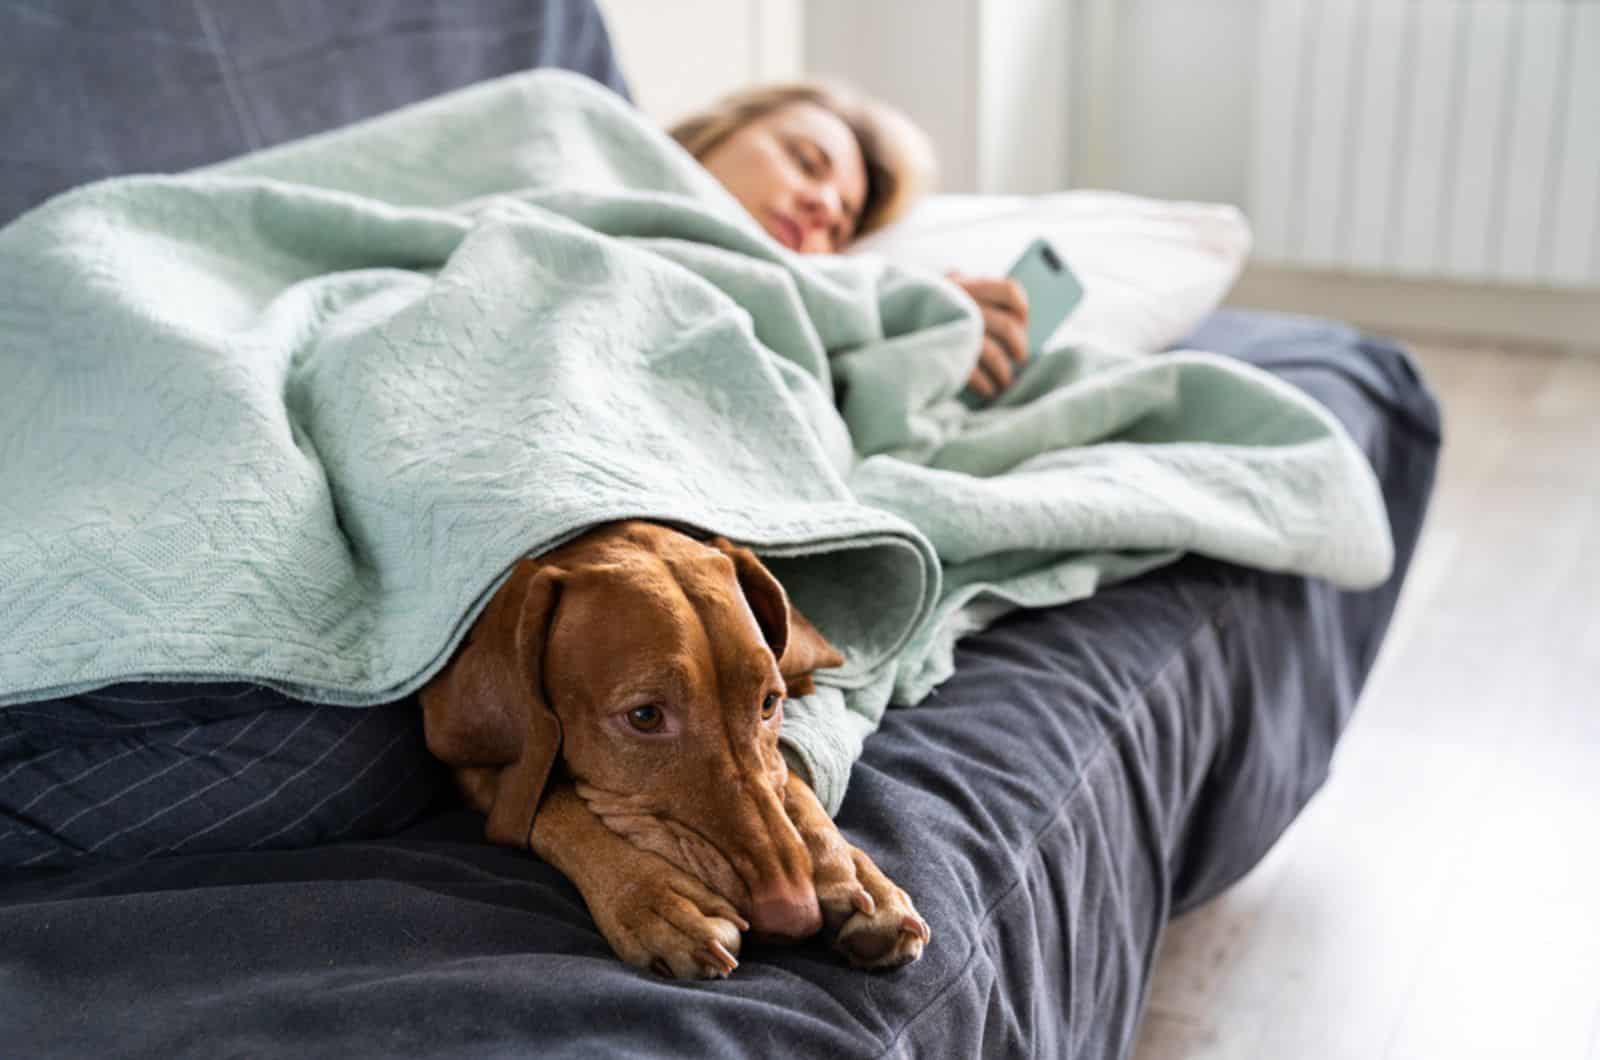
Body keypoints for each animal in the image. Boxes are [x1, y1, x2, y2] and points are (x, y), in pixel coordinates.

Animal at [419, 521, 934, 979]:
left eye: (769, 702)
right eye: (645, 716)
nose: (795, 914)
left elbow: (789, 781)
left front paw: (852, 872)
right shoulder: (477, 768)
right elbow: (556, 803)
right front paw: (658, 899)